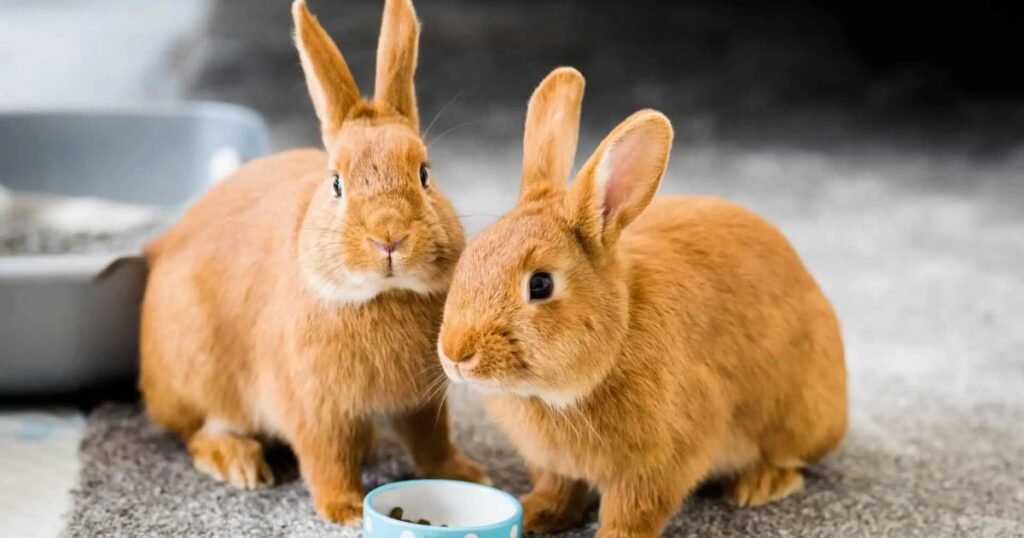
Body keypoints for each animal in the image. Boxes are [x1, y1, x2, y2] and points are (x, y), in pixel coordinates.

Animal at [139, 0, 487, 525]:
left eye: (425, 173)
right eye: (337, 183)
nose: (389, 237)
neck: (382, 295)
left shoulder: (422, 402)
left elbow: (432, 442)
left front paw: (466, 475)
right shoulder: (314, 407)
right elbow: (327, 458)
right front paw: (345, 510)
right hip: (203, 371)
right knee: (202, 431)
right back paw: (239, 464)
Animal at [436, 67, 847, 538]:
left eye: (540, 284)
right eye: (469, 256)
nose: (455, 353)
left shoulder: (662, 459)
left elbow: (633, 509)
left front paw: (611, 535)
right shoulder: (553, 464)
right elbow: (557, 487)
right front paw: (536, 513)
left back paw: (761, 484)